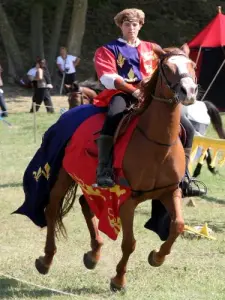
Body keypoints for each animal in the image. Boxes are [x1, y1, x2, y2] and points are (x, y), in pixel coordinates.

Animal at [34, 45, 198, 292]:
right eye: (168, 68)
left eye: (192, 65)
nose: (188, 91)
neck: (156, 143)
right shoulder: (126, 201)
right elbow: (129, 243)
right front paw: (119, 280)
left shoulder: (170, 191)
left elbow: (178, 225)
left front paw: (156, 257)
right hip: (64, 176)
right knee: (52, 210)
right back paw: (46, 260)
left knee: (84, 204)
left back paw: (93, 254)